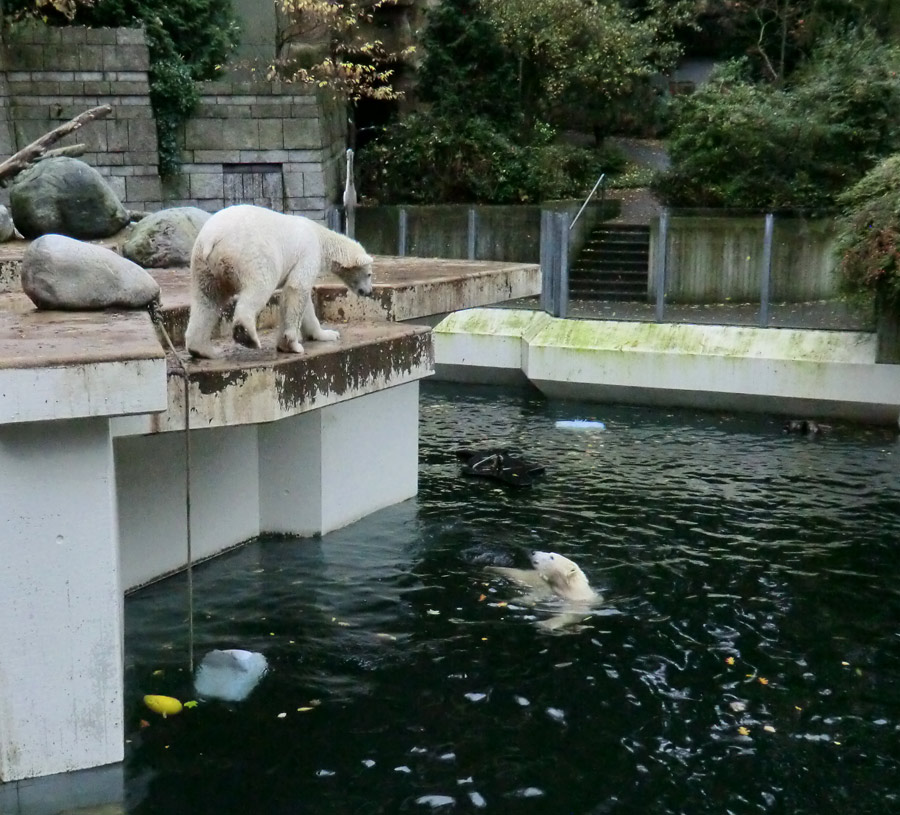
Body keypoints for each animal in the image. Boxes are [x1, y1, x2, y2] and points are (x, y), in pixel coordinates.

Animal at [185, 203, 374, 356]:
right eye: (369, 274)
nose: (369, 291)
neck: (320, 236)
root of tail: (212, 237)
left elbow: (306, 304)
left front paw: (327, 334)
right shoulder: (308, 252)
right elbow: (297, 288)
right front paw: (291, 345)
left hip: (202, 265)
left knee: (206, 300)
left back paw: (201, 349)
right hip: (251, 255)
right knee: (259, 288)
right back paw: (246, 336)